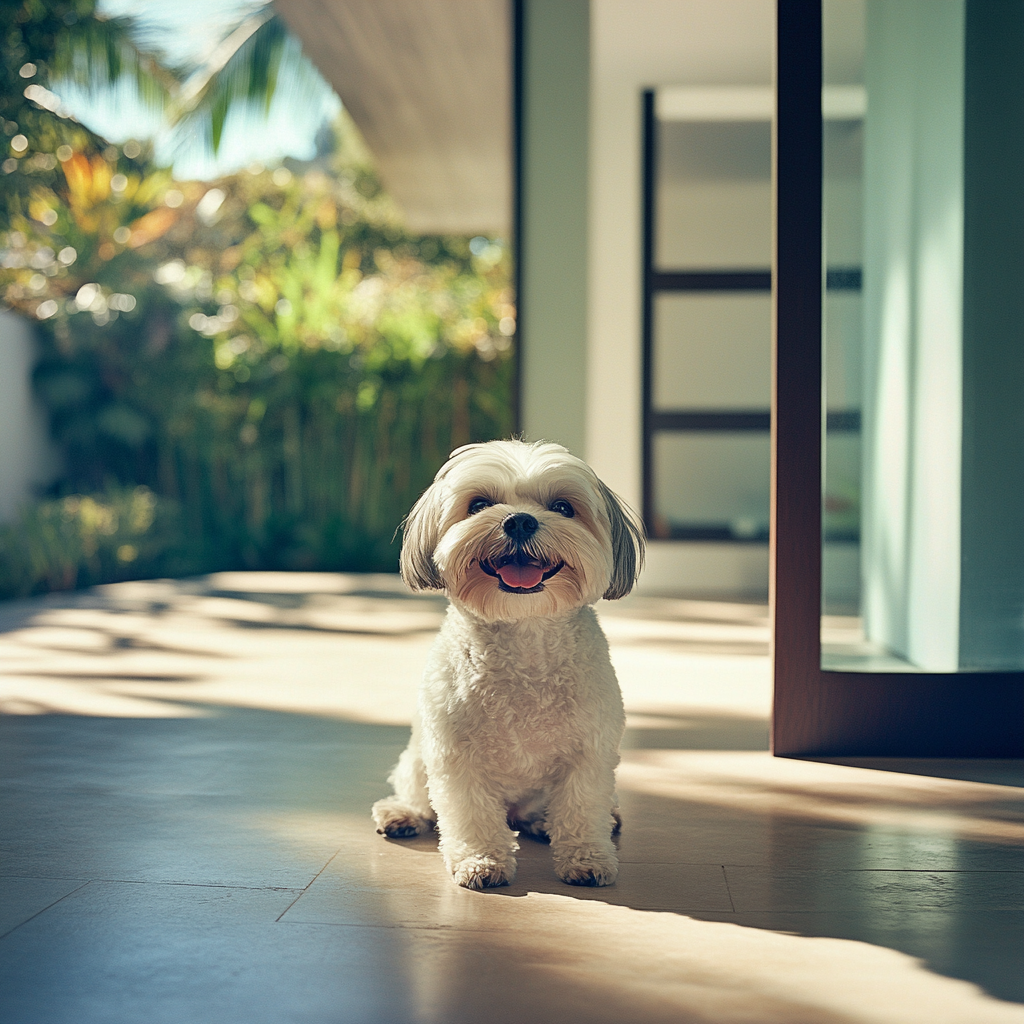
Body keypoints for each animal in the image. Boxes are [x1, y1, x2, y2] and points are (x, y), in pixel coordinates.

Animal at [368, 440, 643, 888]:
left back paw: (546, 821)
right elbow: (471, 814)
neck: (524, 636)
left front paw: (586, 858)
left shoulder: (589, 754)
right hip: (417, 757)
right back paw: (402, 814)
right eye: (479, 504)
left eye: (563, 507)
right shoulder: (455, 756)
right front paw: (481, 860)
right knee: (418, 794)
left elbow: (582, 809)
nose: (519, 521)